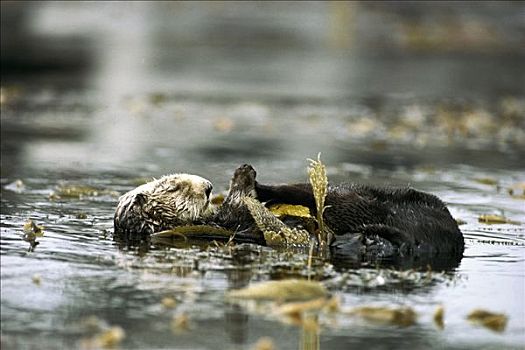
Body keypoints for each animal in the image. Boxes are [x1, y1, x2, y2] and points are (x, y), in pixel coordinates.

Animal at [113, 164, 462, 260]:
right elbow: (238, 208)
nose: (209, 186)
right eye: (174, 187)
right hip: (357, 206)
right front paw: (242, 184)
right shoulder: (225, 223)